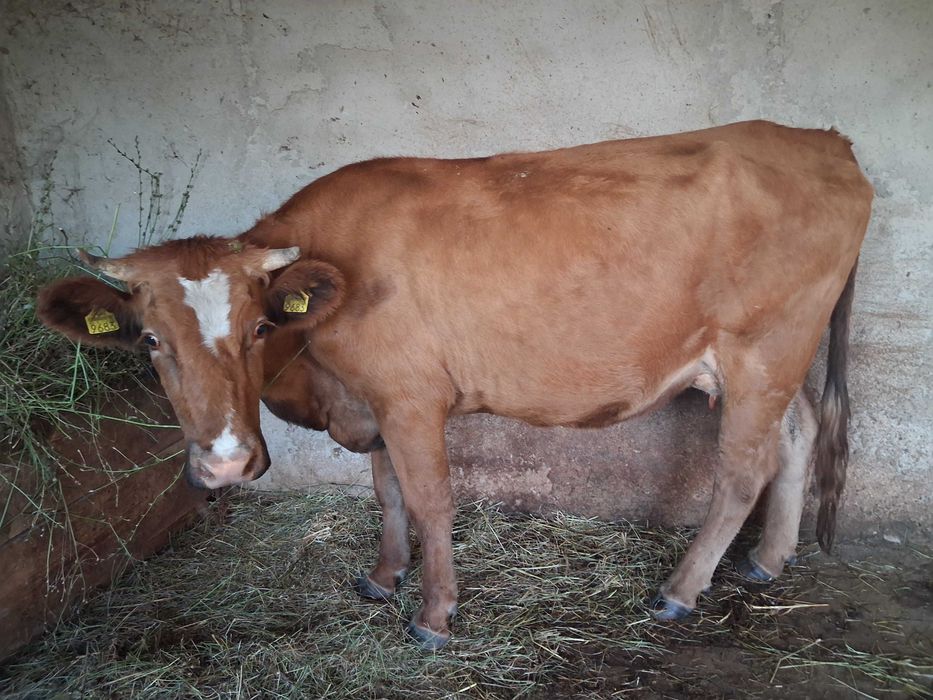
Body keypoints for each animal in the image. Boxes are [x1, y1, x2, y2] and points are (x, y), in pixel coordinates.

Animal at [37, 120, 872, 650]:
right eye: (150, 341)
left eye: (258, 328)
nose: (225, 464)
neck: (320, 380)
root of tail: (817, 139)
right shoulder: (371, 398)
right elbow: (386, 492)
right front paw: (383, 578)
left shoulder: (410, 397)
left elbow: (430, 498)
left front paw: (434, 615)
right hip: (775, 359)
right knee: (796, 433)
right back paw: (769, 558)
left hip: (763, 349)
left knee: (740, 471)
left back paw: (679, 590)